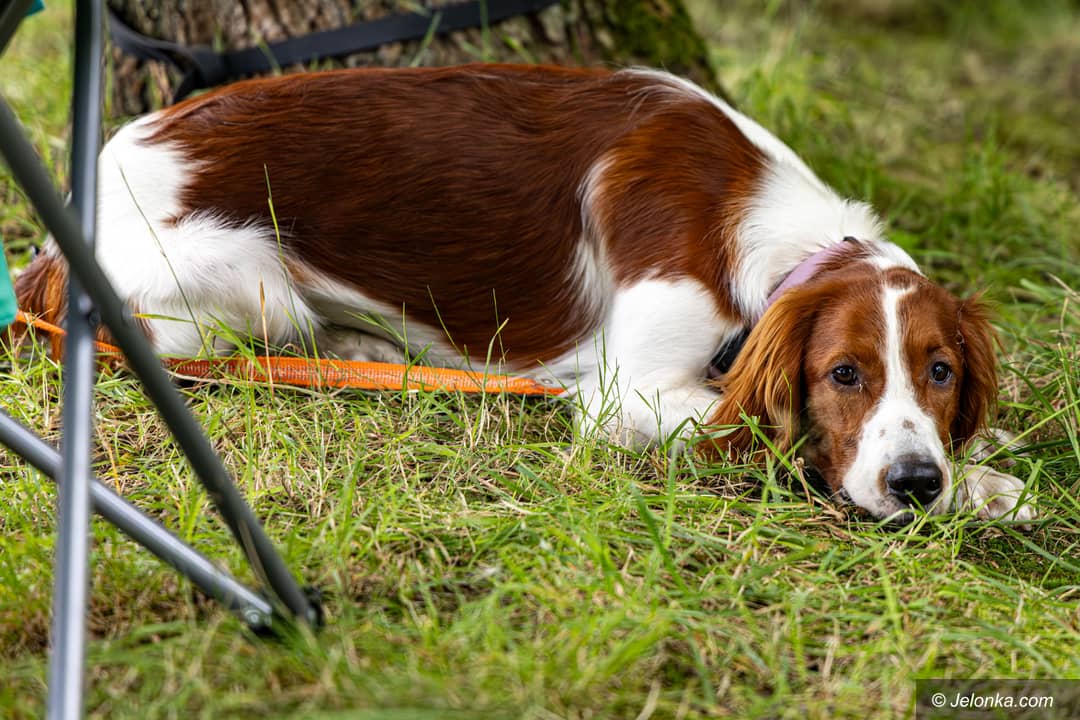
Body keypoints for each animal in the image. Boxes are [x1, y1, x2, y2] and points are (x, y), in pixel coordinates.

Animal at [13, 64, 1033, 524]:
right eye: (842, 374)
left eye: (941, 371)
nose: (916, 483)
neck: (767, 233)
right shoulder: (623, 394)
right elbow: (762, 433)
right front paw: (981, 487)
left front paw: (977, 462)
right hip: (251, 281)